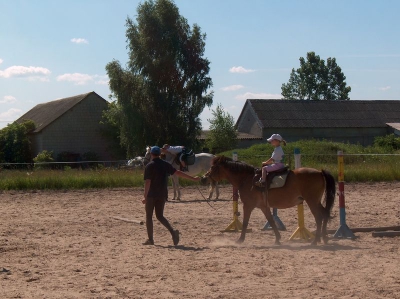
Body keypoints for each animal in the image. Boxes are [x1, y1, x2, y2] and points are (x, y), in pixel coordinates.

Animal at [199, 157, 334, 246]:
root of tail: (319, 172)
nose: (203, 178)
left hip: (312, 201)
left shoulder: (248, 206)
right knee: (325, 214)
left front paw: (240, 239)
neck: (247, 179)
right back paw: (324, 238)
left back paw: (315, 241)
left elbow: (245, 222)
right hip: (316, 201)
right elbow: (271, 221)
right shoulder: (264, 207)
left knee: (319, 217)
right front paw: (278, 239)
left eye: (212, 167)